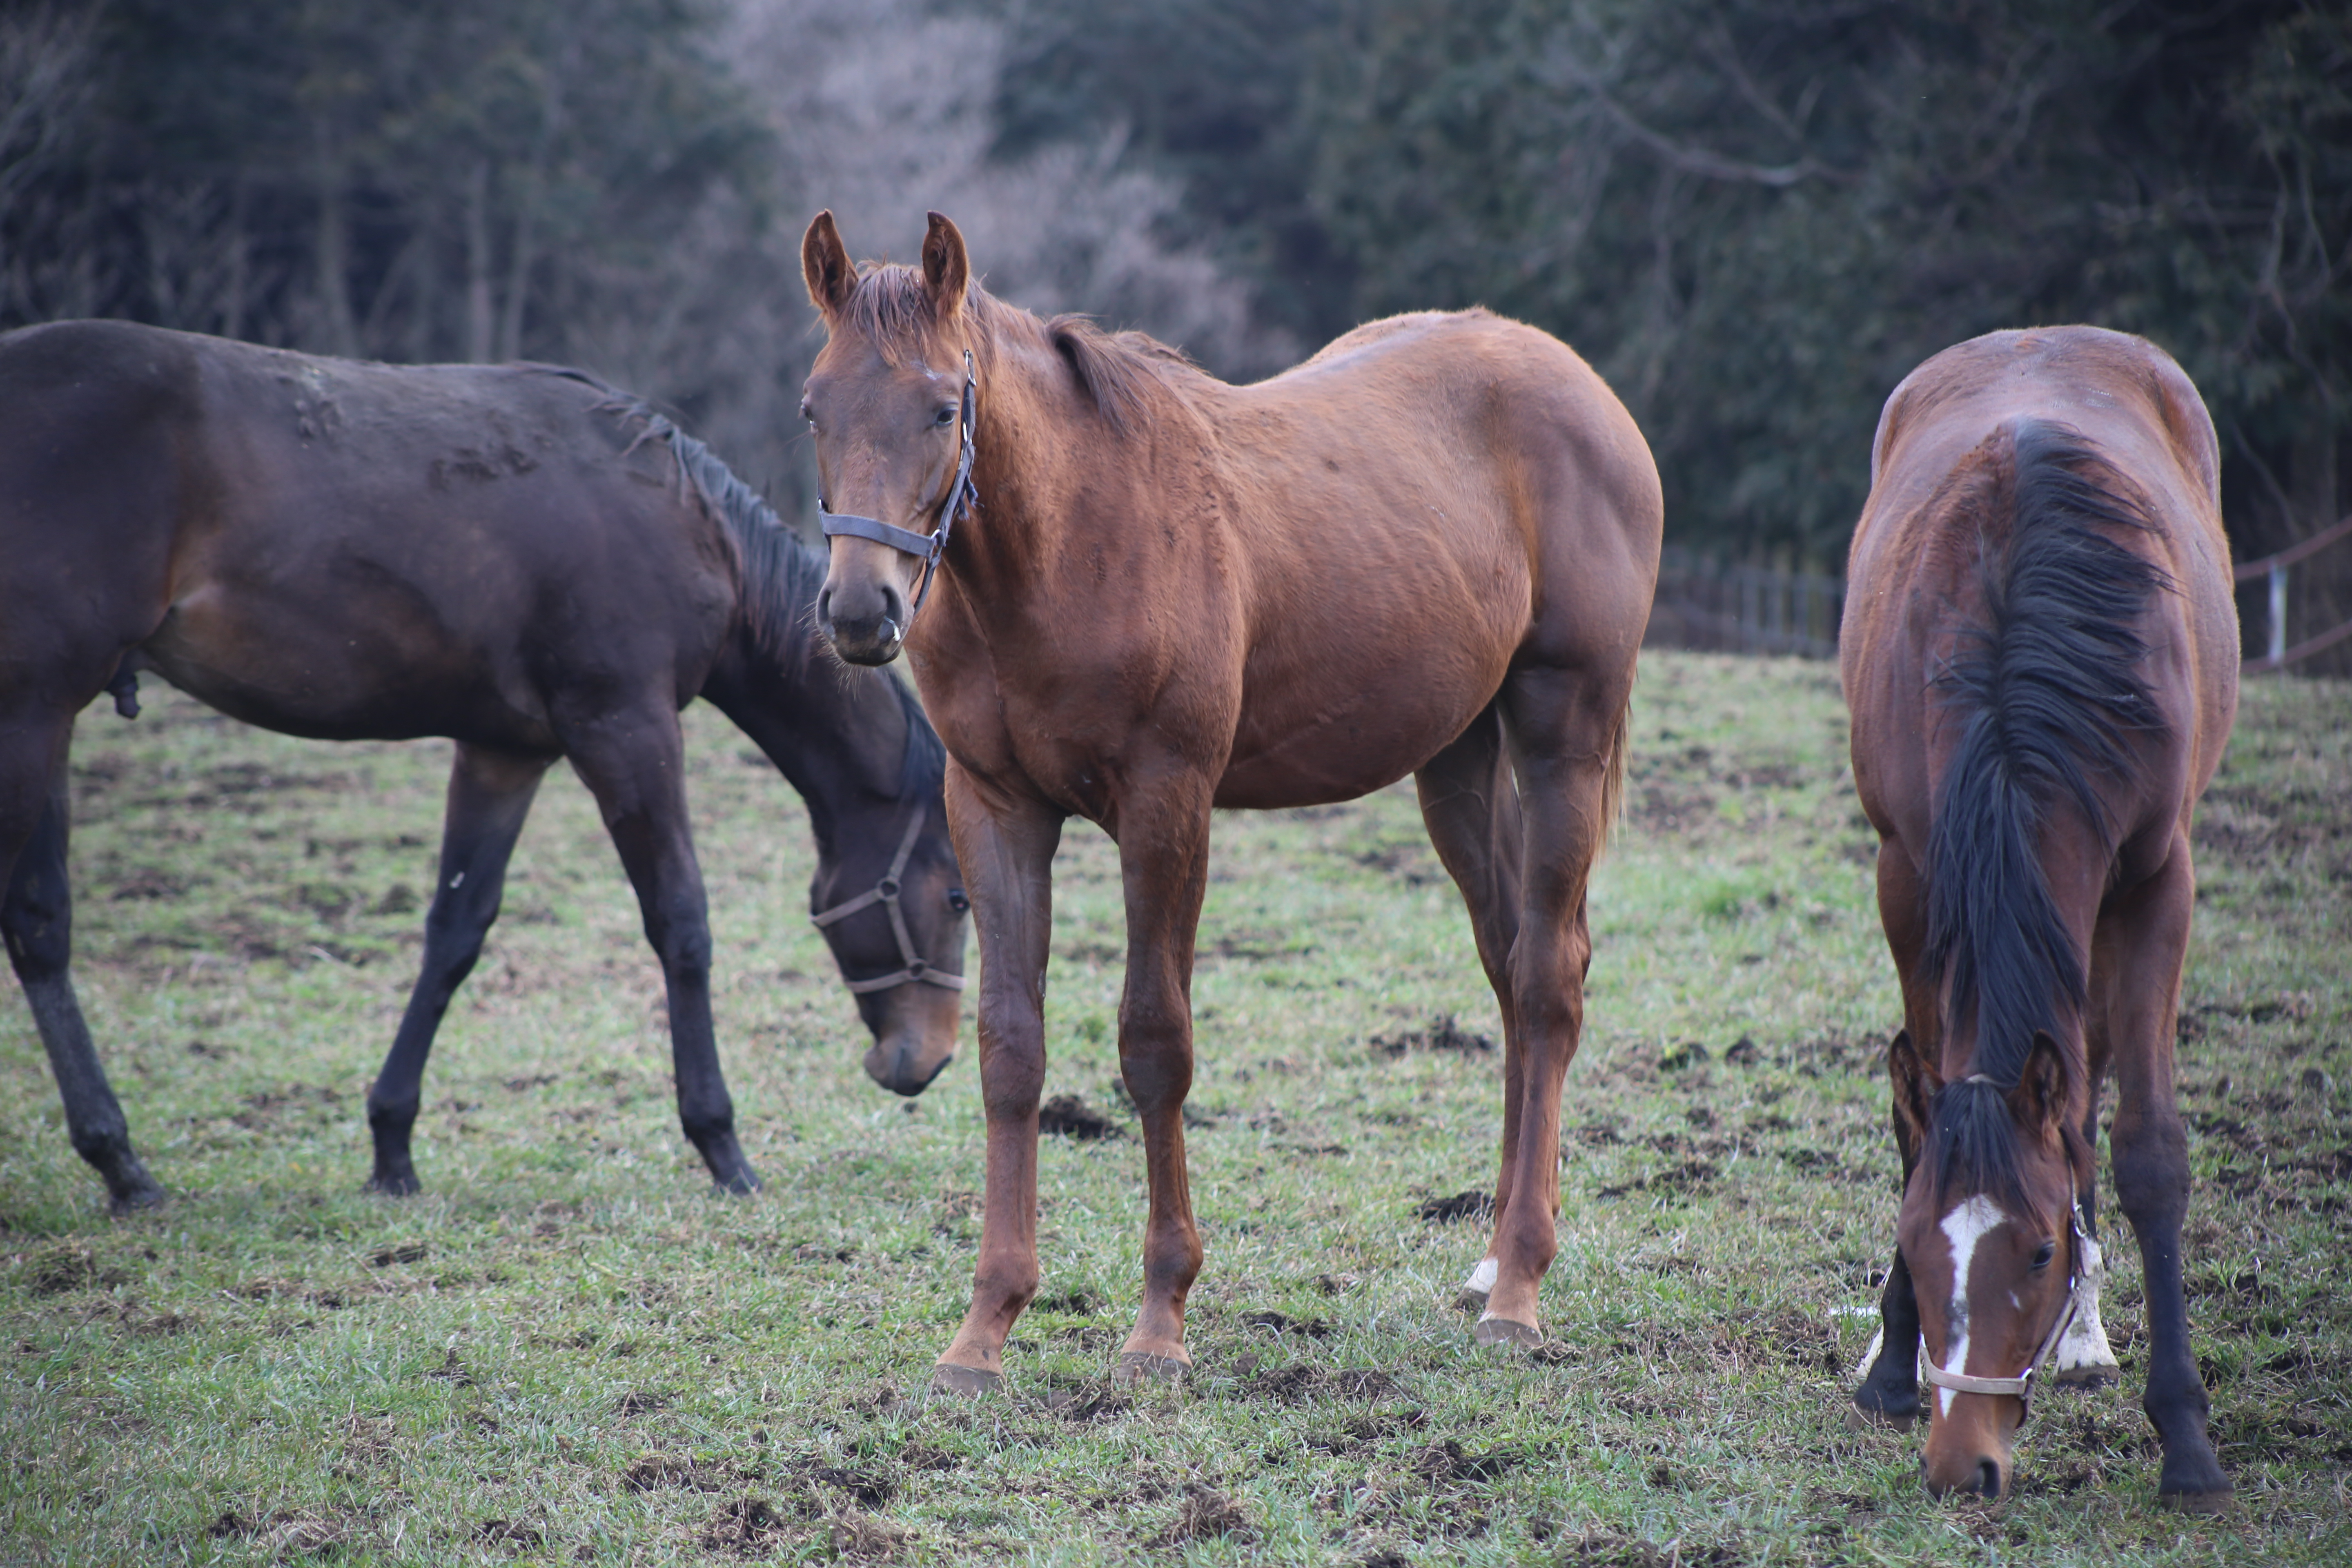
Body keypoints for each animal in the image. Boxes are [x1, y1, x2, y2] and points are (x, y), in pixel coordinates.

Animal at [0, 315, 973, 1203]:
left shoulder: (507, 752)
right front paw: (721, 1143)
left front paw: (392, 1144)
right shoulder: (625, 725)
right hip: (34, 710)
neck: (690, 527)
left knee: (41, 926)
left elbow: (455, 931)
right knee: (37, 924)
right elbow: (682, 923)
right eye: (959, 896)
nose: (925, 1061)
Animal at [800, 212, 1665, 1401]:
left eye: (940, 405)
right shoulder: (995, 808)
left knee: (1547, 982)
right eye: (814, 407)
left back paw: (1521, 1288)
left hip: (1559, 736)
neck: (1070, 545)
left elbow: (1154, 1043)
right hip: (1454, 763)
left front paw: (1159, 1322)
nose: (858, 610)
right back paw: (1493, 1261)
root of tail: (1581, 387)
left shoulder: (1169, 805)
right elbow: (1010, 1051)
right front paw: (985, 1330)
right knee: (1511, 972)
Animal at [1844, 322, 2230, 1504]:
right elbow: (1914, 1124)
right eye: (1922, 1243)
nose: (1959, 1463)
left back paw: (2097, 1338)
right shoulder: (1909, 873)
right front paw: (1891, 1362)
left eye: (2038, 1252)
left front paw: (2185, 1436)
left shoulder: (2154, 881)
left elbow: (2147, 1149)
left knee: (2091, 1072)